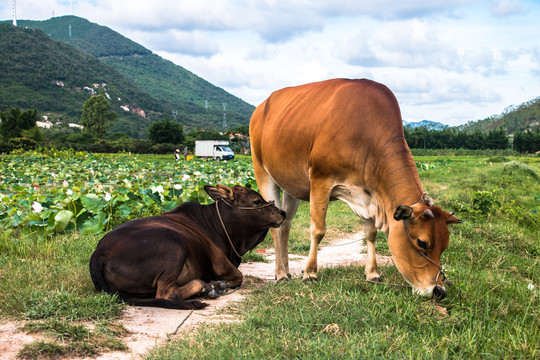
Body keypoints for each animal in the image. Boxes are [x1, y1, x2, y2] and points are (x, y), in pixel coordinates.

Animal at [90, 184, 286, 310]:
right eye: (257, 201)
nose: (283, 213)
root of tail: (99, 254)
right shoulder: (220, 263)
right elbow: (239, 277)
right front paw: (219, 284)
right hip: (174, 245)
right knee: (167, 294)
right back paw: (209, 287)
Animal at [251, 79, 462, 298]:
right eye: (422, 243)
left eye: (445, 246)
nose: (438, 290)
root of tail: (261, 107)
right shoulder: (320, 180)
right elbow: (318, 230)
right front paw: (310, 273)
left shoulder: (371, 195)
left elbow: (370, 233)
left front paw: (372, 273)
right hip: (262, 172)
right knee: (274, 225)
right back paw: (281, 274)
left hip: (290, 187)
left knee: (285, 224)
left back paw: (284, 271)